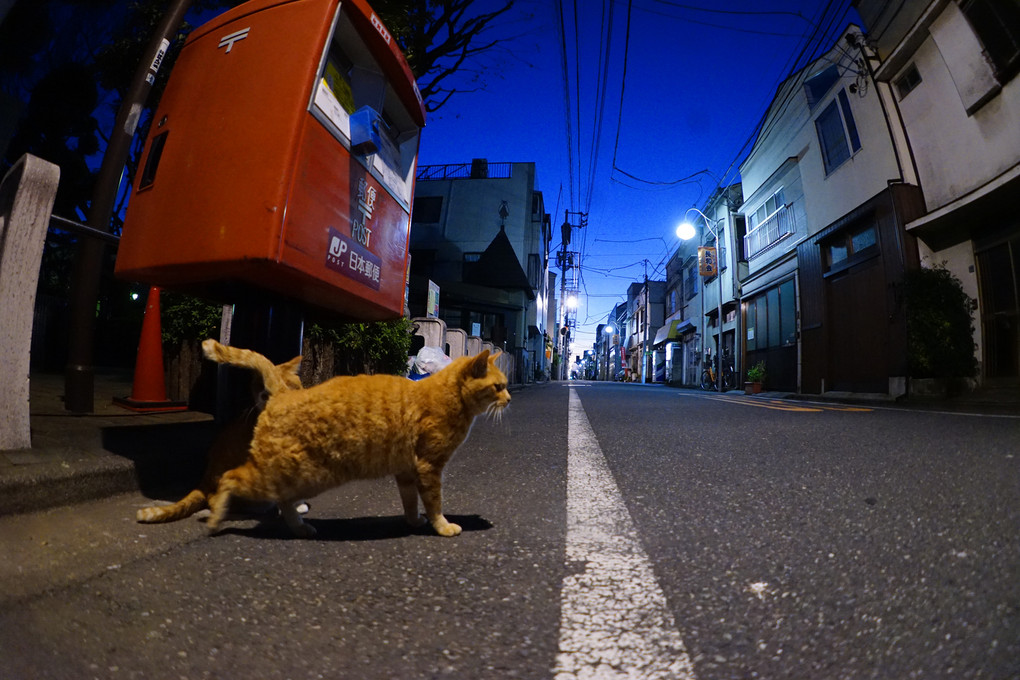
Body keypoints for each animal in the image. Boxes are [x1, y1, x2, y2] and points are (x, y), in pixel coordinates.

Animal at [206, 350, 510, 538]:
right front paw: (443, 527)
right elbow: (434, 503)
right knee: (229, 479)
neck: (451, 397)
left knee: (284, 502)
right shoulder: (429, 468)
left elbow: (410, 502)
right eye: (498, 387)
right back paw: (215, 519)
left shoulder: (407, 472)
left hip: (299, 478)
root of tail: (281, 394)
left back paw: (300, 529)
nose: (508, 400)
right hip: (292, 476)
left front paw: (413, 522)